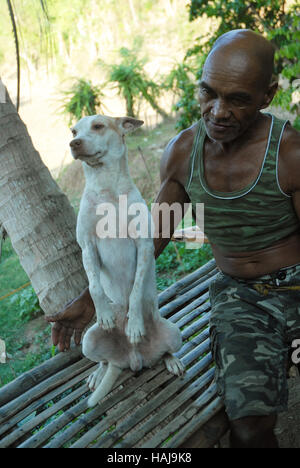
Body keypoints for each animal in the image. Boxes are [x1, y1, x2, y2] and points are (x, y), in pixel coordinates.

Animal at [69, 115, 183, 408]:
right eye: (73, 131)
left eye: (98, 126)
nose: (74, 143)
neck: (107, 190)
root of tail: (131, 359)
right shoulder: (87, 247)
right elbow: (95, 286)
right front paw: (105, 313)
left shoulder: (143, 246)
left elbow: (135, 291)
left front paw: (133, 324)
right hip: (88, 340)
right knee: (102, 361)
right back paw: (99, 373)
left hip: (173, 332)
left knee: (166, 351)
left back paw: (171, 360)